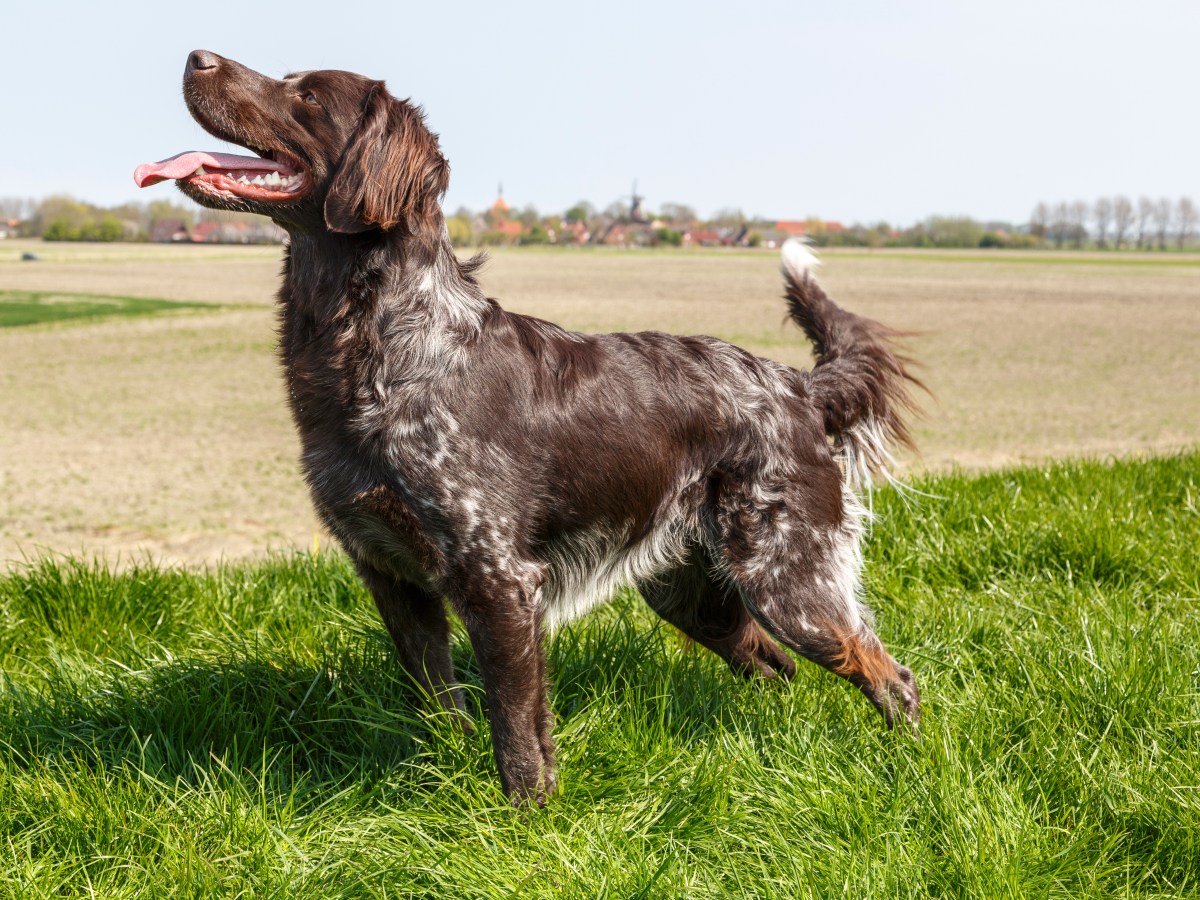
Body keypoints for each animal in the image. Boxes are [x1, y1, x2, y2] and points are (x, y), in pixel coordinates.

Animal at [136, 52, 921, 806]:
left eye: (305, 96)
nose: (195, 56)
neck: (388, 344)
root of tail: (799, 386)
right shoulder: (393, 577)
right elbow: (440, 705)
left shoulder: (499, 579)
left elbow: (516, 728)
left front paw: (528, 819)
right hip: (693, 591)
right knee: (774, 666)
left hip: (788, 575)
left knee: (889, 674)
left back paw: (904, 766)